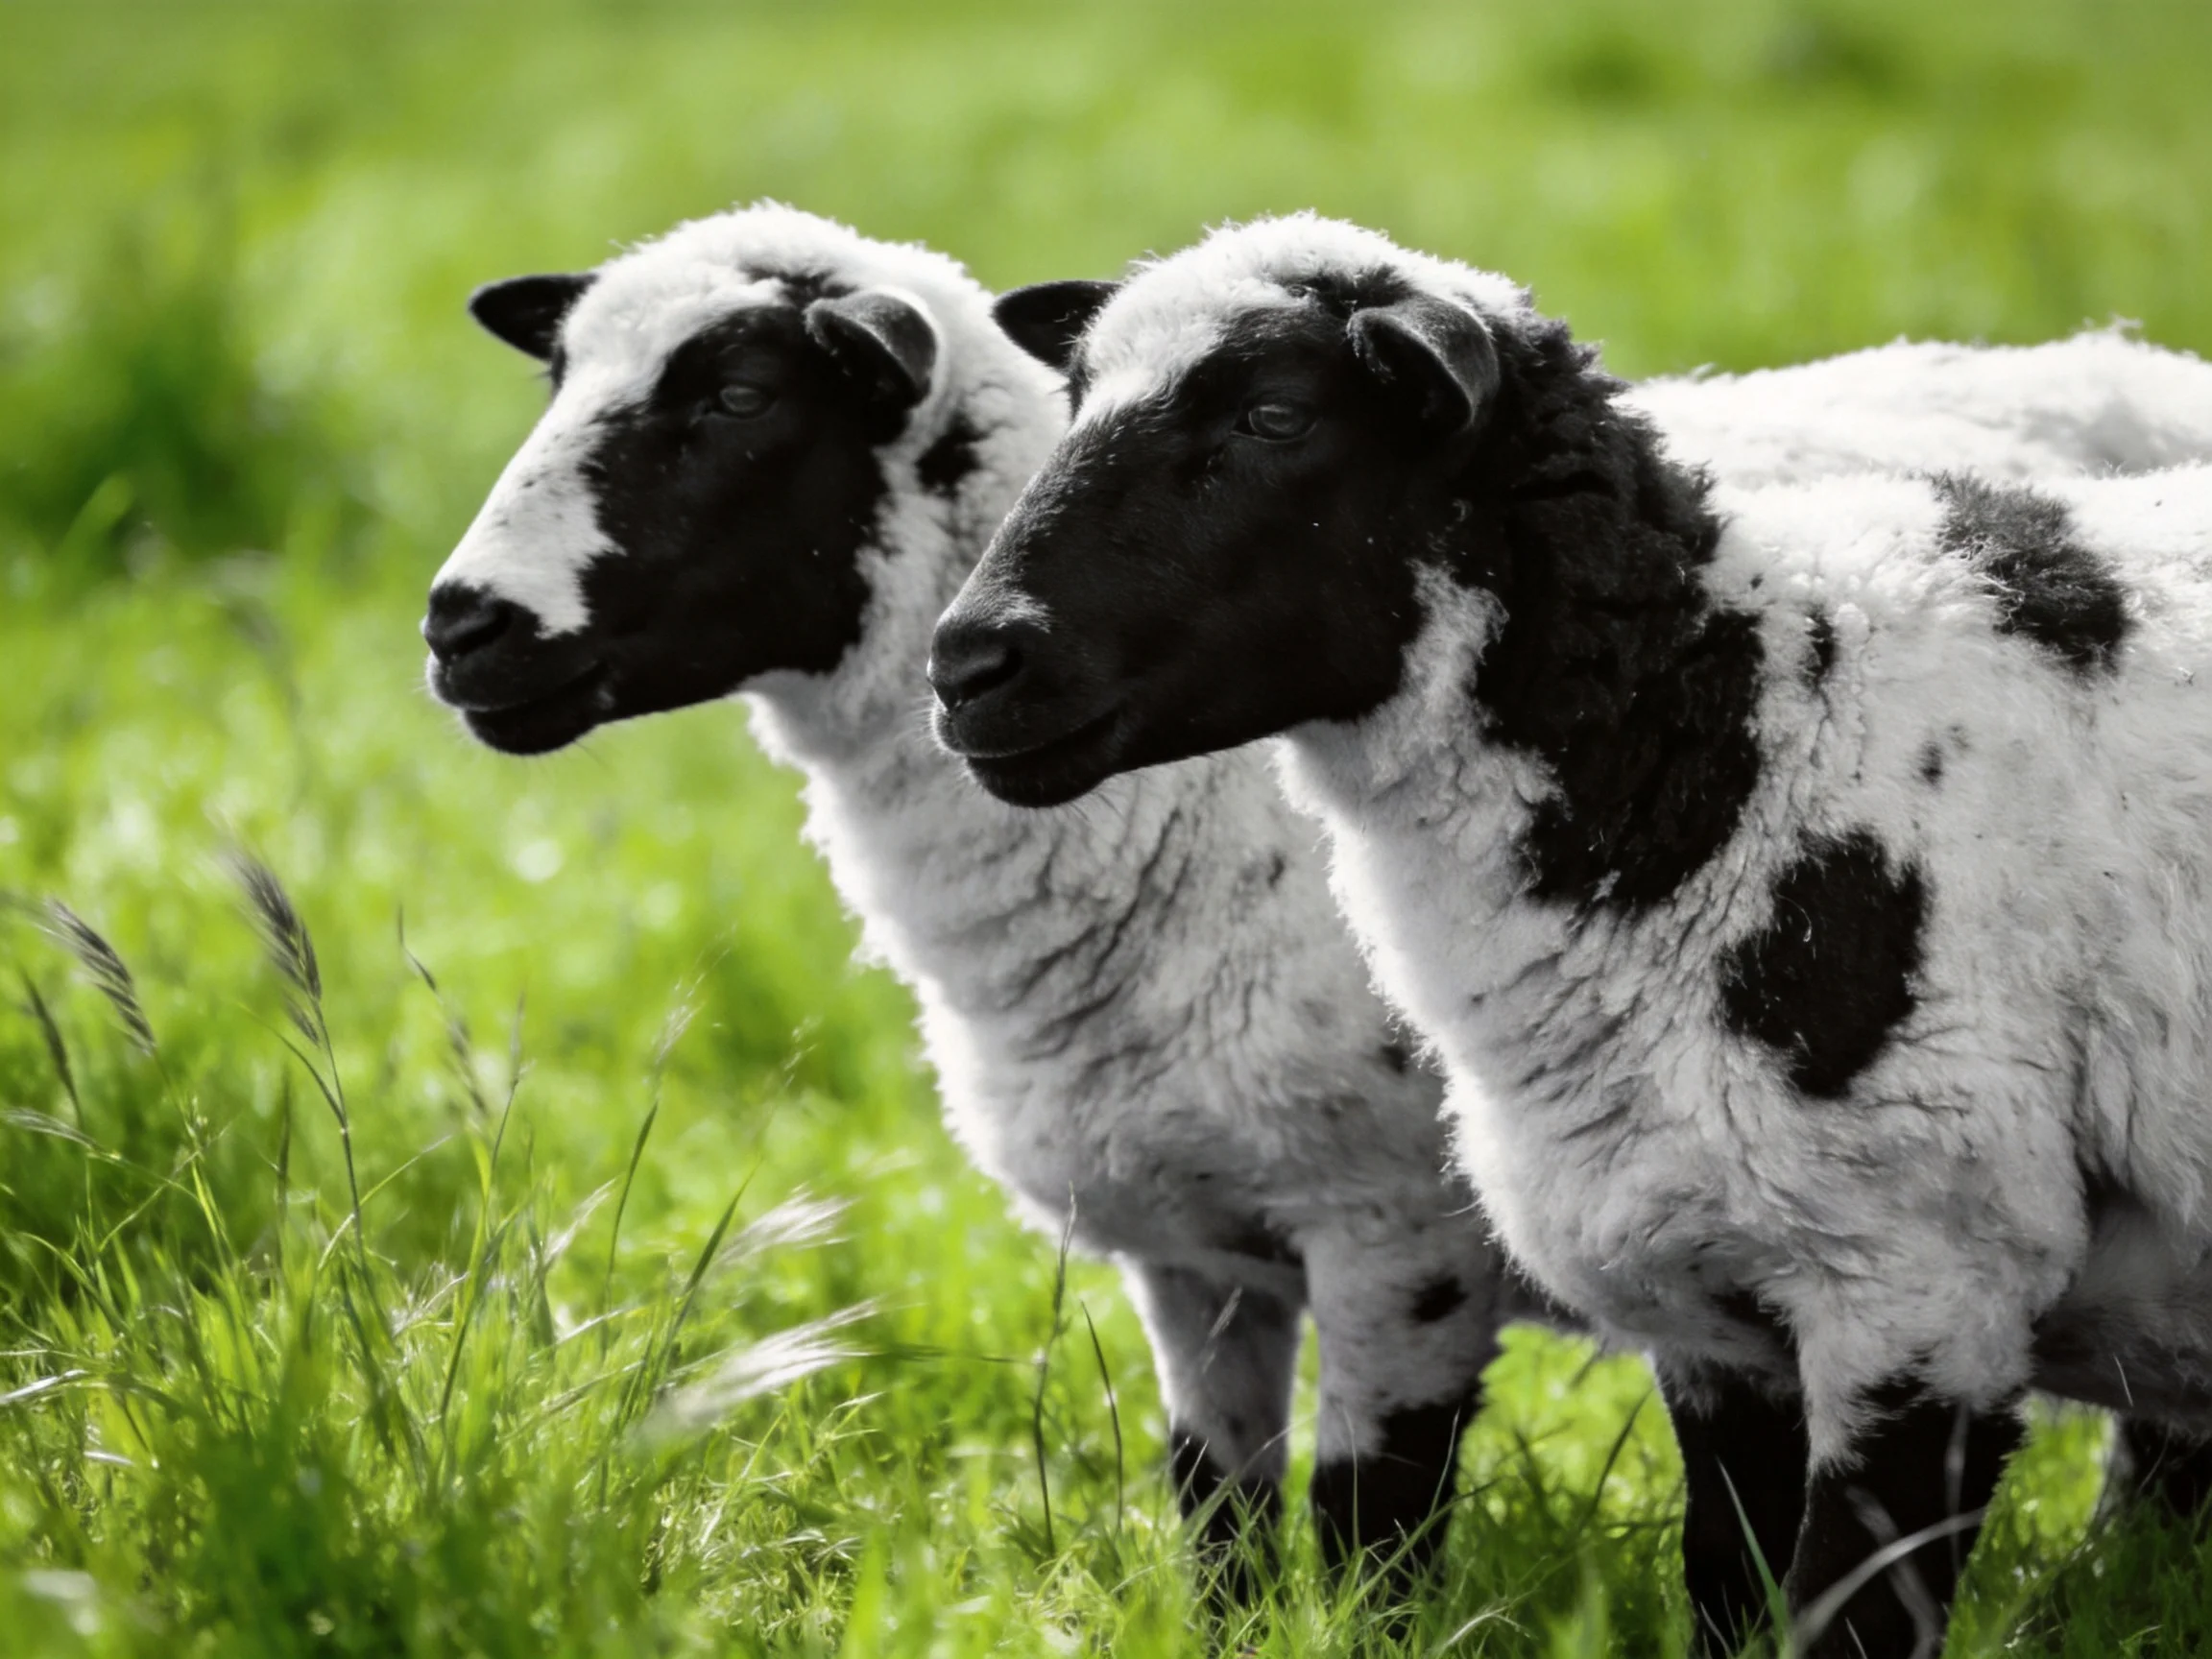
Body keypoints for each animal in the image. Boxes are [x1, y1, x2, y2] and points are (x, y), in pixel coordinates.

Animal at [418, 203, 1541, 1599]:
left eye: (739, 394)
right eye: (558, 378)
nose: (462, 627)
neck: (1184, 823)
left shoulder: (1401, 1238)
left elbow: (1369, 1543)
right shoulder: (1199, 1241)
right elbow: (1216, 1520)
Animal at [929, 211, 2212, 1657]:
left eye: (1274, 414)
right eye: (1078, 396)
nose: (968, 666)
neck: (1716, 755)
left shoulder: (1928, 1278)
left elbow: (1842, 1615)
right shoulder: (1717, 1299)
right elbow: (1724, 1585)